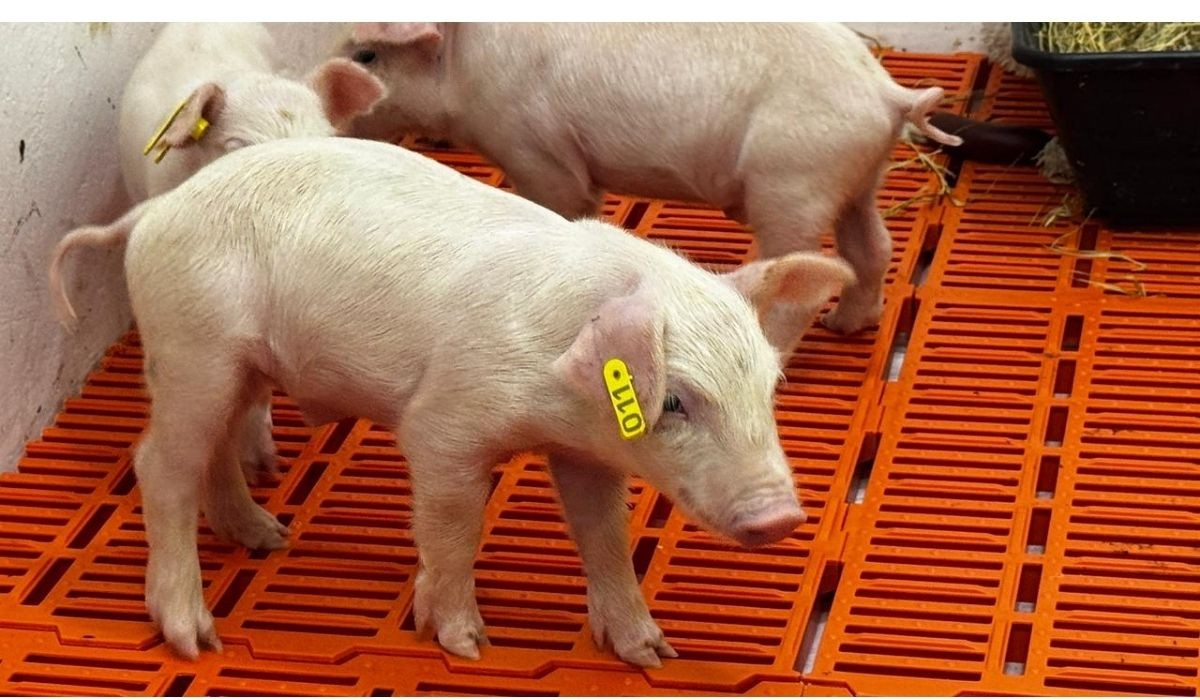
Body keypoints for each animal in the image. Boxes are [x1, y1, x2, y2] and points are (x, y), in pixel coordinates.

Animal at [62, 137, 853, 667]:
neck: (557, 393)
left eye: (768, 386)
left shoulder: (584, 452)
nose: (781, 518)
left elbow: (603, 536)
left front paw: (653, 654)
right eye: (678, 402)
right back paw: (195, 639)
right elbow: (454, 529)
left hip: (237, 364)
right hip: (191, 346)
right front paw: (466, 643)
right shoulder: (443, 427)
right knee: (160, 465)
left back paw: (267, 538)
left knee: (216, 446)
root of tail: (153, 212)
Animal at [331, 22, 962, 340]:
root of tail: (887, 92)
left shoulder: (532, 147)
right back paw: (847, 326)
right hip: (859, 177)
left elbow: (564, 204)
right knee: (872, 247)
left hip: (793, 183)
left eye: (368, 56)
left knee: (798, 281)